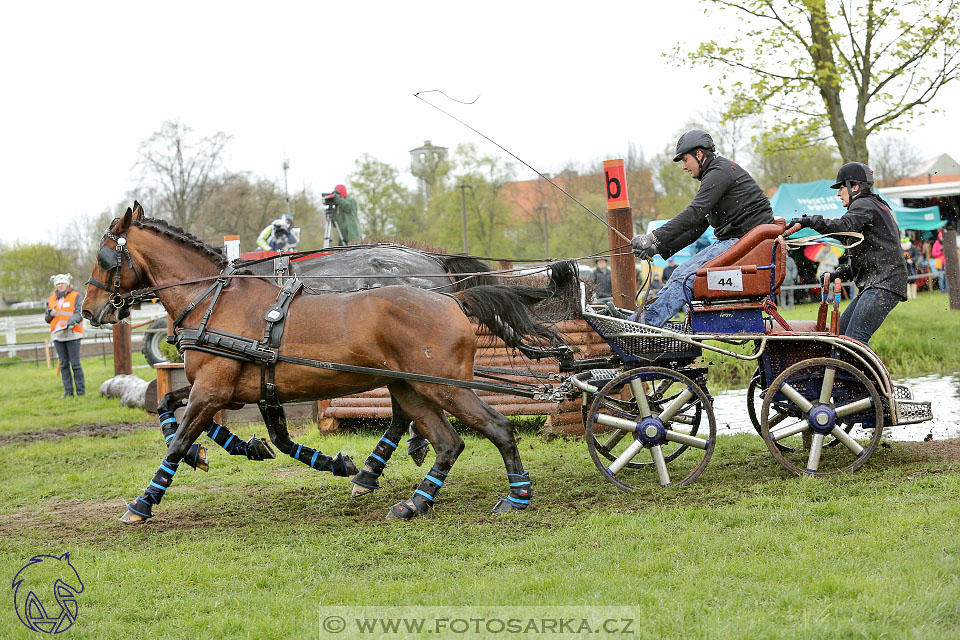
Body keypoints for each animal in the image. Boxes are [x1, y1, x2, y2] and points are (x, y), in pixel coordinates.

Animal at [84, 202, 568, 524]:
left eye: (105, 258)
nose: (89, 311)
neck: (213, 301)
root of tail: (452, 296)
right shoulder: (235, 391)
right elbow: (174, 409)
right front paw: (250, 450)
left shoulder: (214, 390)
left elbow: (179, 436)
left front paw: (144, 502)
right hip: (410, 385)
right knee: (446, 439)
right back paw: (410, 498)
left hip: (443, 386)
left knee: (494, 428)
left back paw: (515, 496)